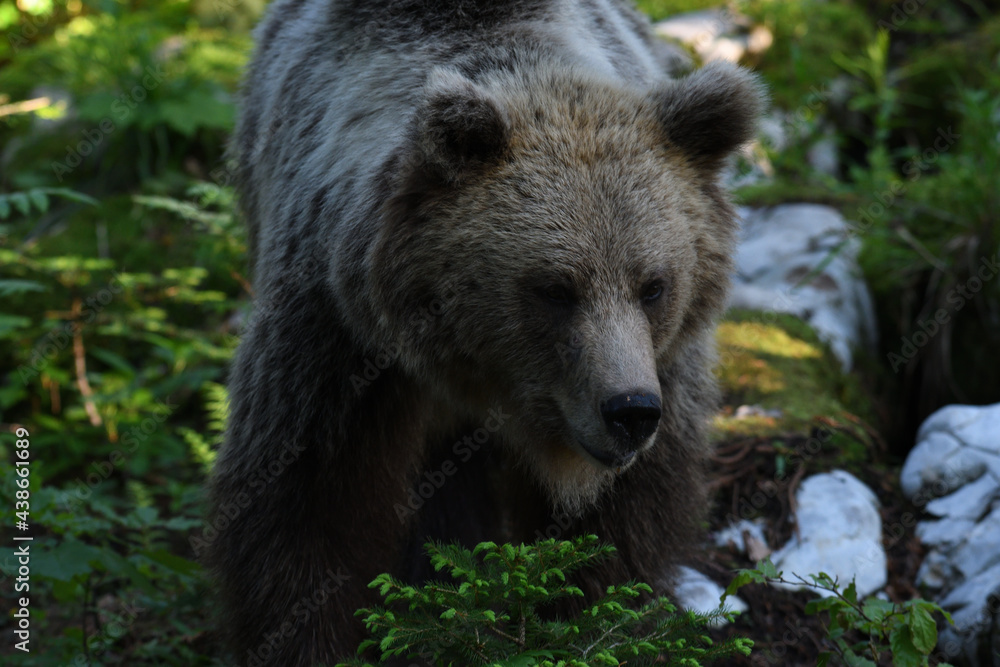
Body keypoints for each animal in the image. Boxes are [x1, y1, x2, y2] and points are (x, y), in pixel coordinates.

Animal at [205, 2, 764, 664]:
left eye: (652, 285)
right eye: (555, 288)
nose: (628, 411)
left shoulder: (662, 366)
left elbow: (619, 529)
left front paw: (589, 623)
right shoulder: (337, 336)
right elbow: (305, 504)